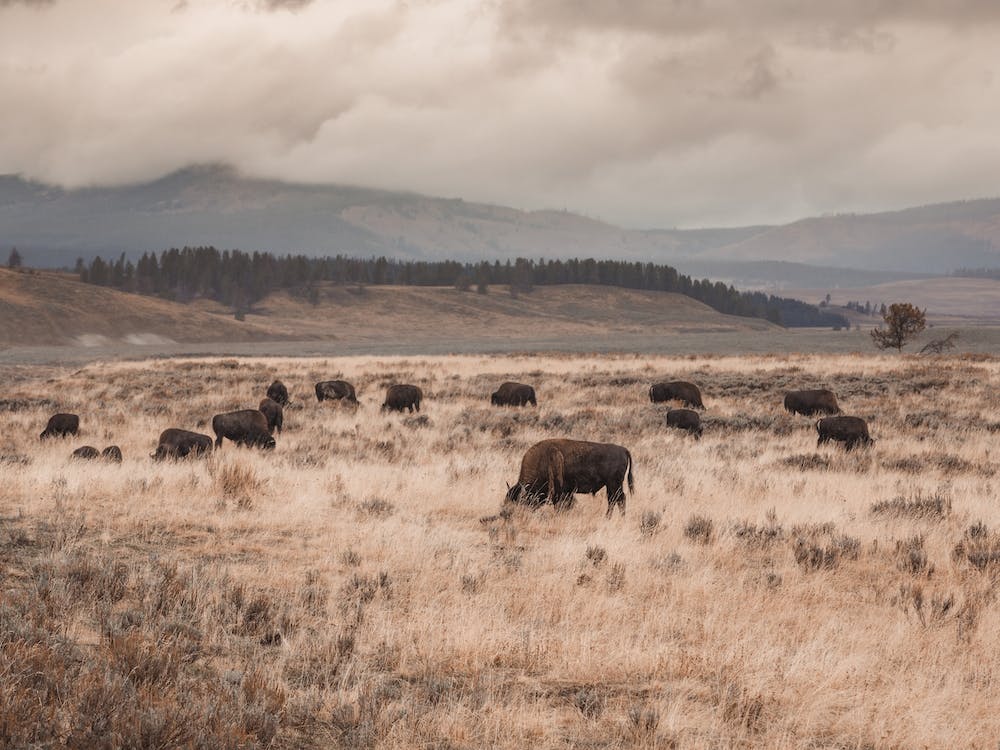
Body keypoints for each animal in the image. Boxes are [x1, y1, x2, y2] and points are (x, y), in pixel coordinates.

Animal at [505, 438, 634, 517]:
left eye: (522, 500)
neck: (542, 461)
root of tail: (624, 450)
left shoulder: (561, 493)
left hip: (614, 484)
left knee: (618, 499)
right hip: (612, 485)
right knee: (616, 500)